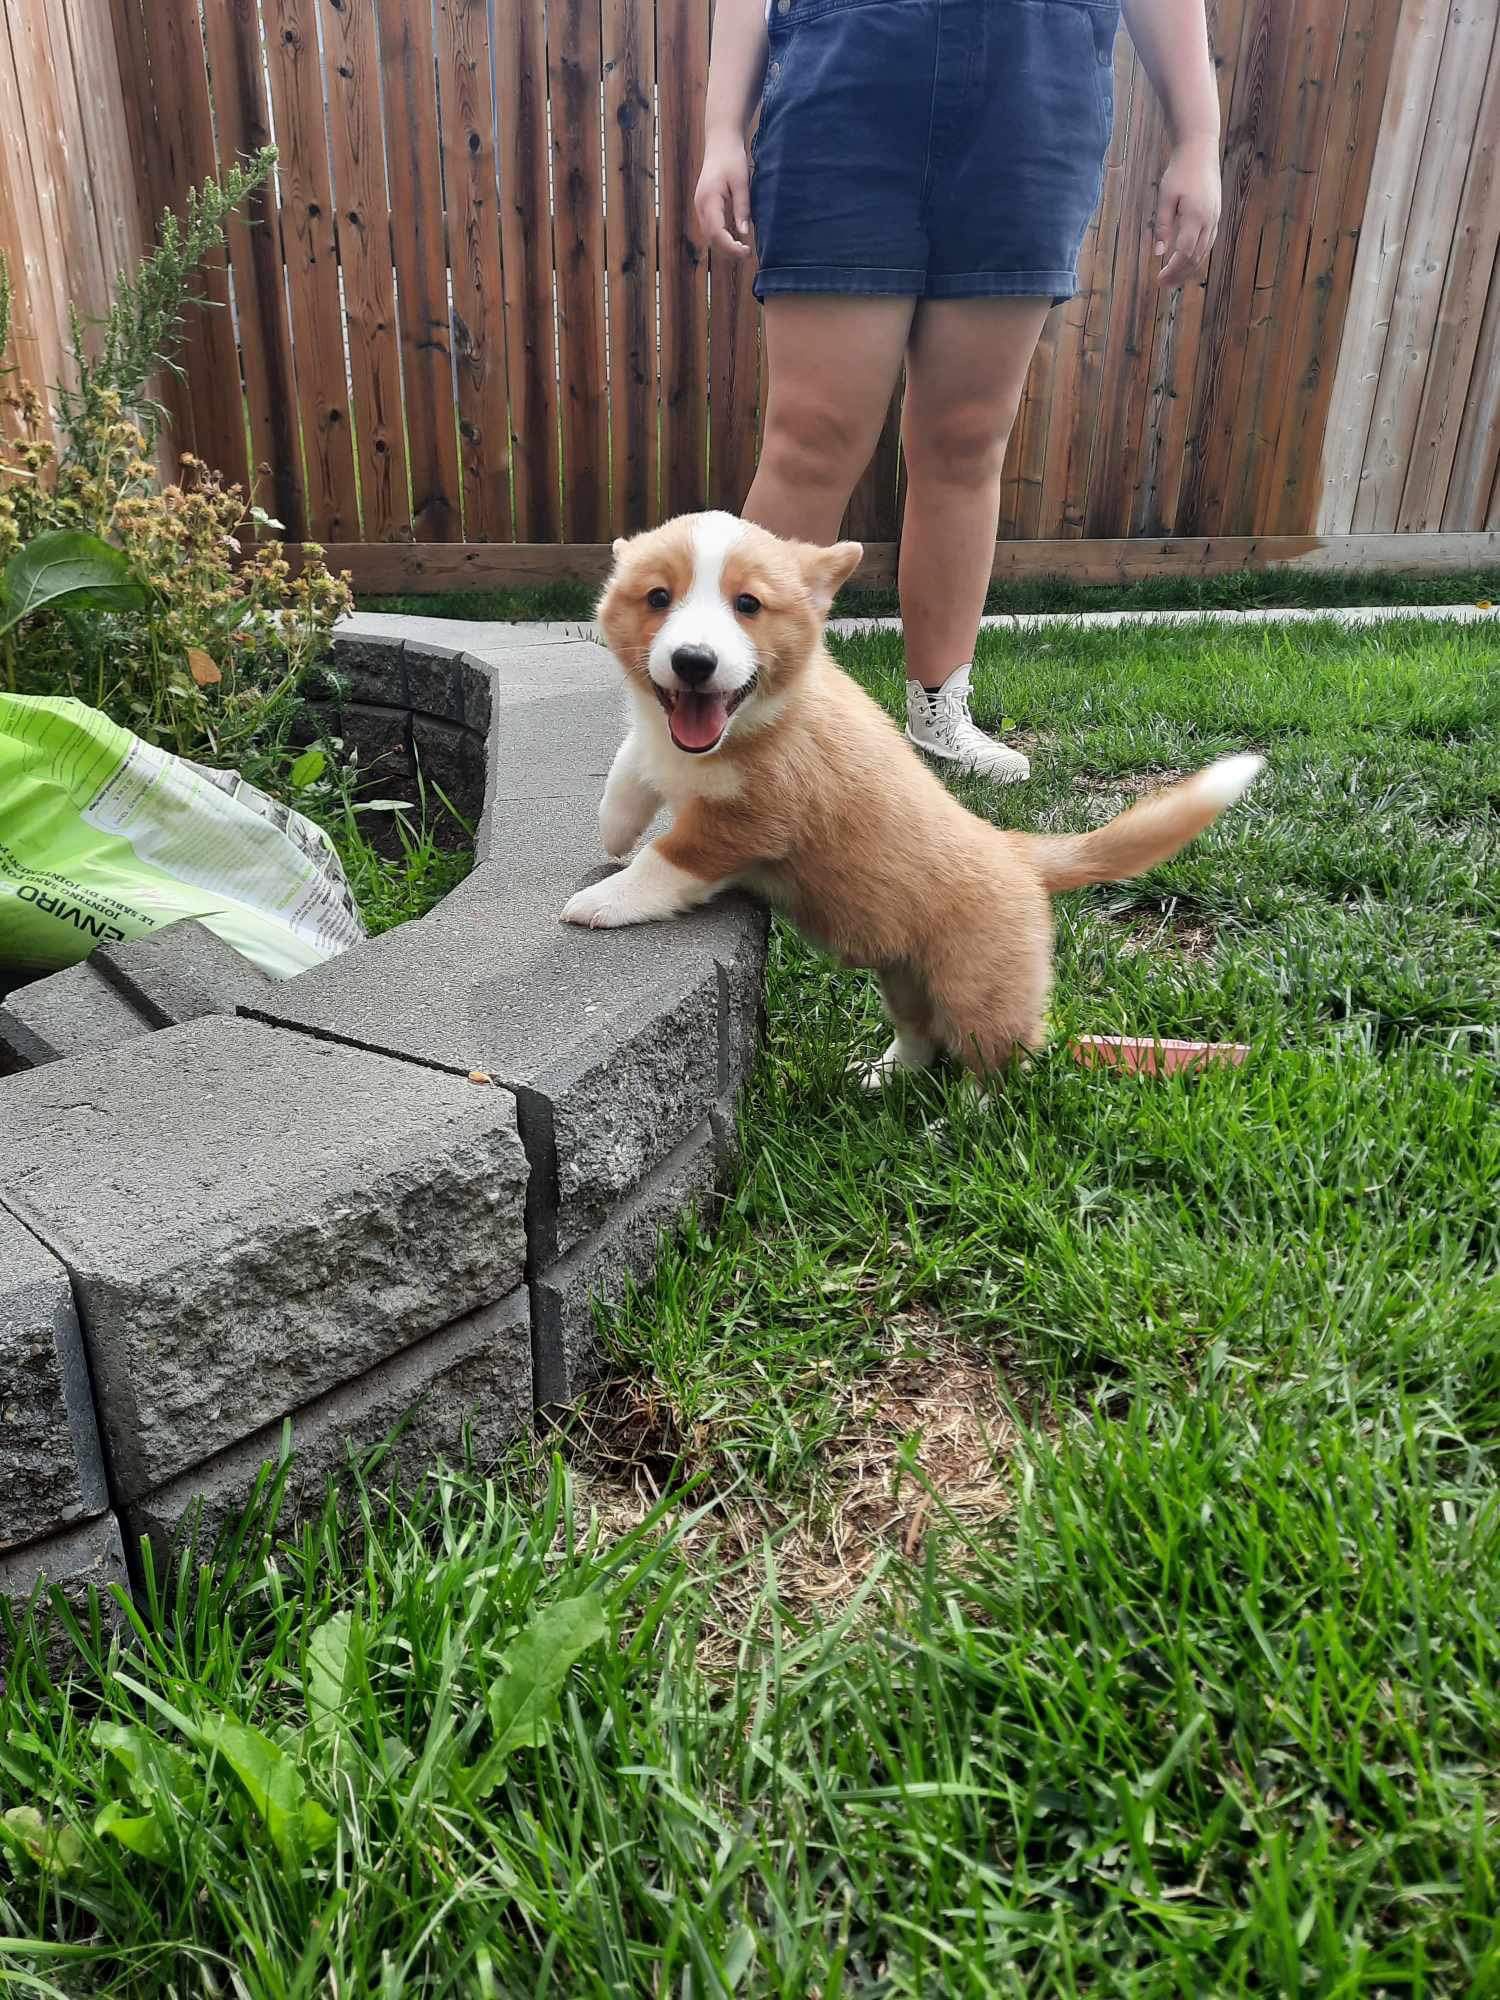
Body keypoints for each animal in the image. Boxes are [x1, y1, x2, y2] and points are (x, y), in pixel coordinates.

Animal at [568, 508, 1272, 1088]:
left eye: (747, 604)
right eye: (659, 597)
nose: (693, 661)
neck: (754, 721)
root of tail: (1018, 852)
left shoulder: (748, 821)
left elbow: (666, 859)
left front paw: (604, 900)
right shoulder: (660, 744)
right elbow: (630, 764)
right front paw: (613, 829)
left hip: (976, 986)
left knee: (1002, 1056)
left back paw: (964, 1119)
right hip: (901, 976)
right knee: (921, 1036)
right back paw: (883, 1076)